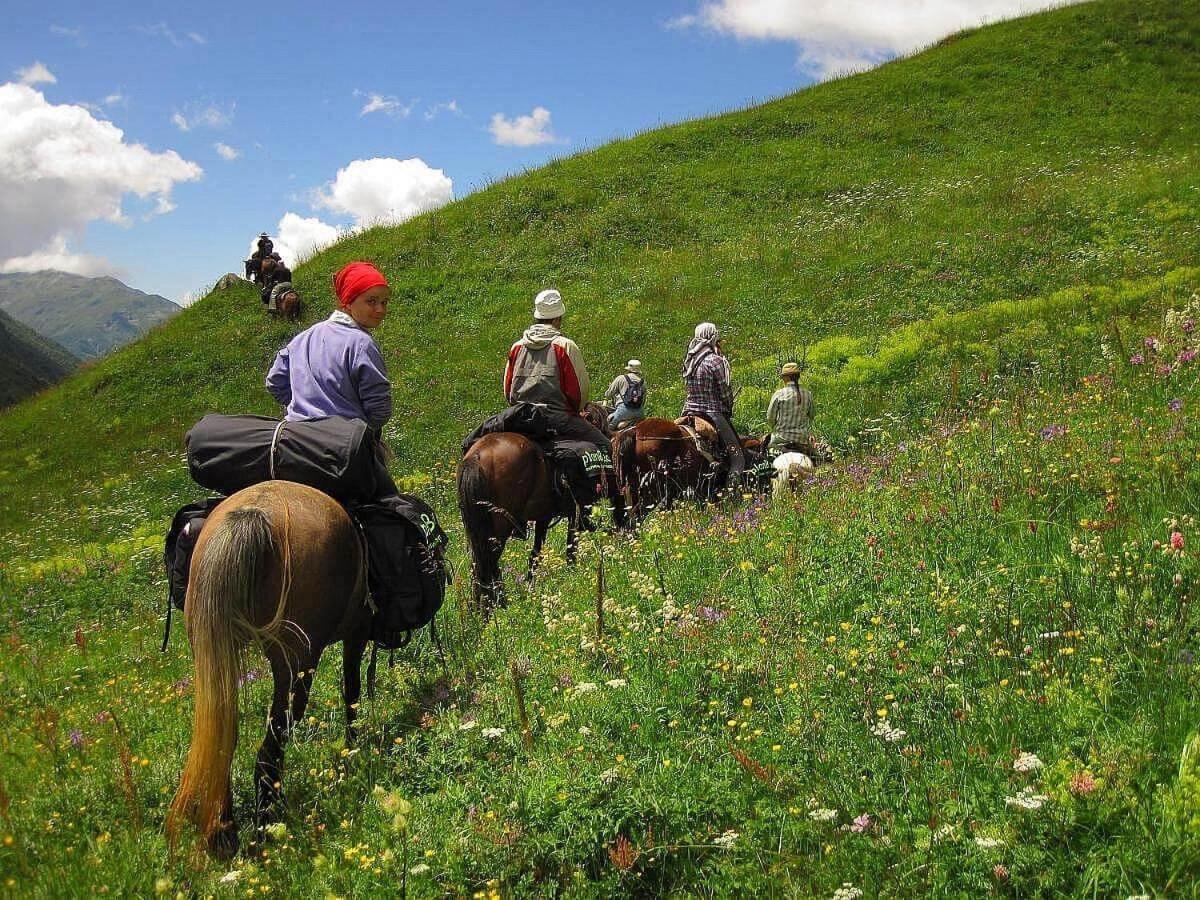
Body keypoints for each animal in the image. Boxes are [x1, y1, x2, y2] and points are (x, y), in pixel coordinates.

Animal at [165, 482, 369, 864]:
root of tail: (251, 515)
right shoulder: (358, 631)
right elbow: (352, 692)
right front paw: (354, 750)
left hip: (214, 653)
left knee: (222, 741)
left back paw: (224, 834)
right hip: (295, 662)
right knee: (271, 749)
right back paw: (265, 830)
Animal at [456, 405, 628, 609]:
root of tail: (478, 456)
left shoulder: (544, 517)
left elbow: (536, 555)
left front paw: (532, 586)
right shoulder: (576, 512)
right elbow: (571, 548)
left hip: (477, 531)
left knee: (479, 566)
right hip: (498, 530)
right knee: (488, 565)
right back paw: (495, 606)